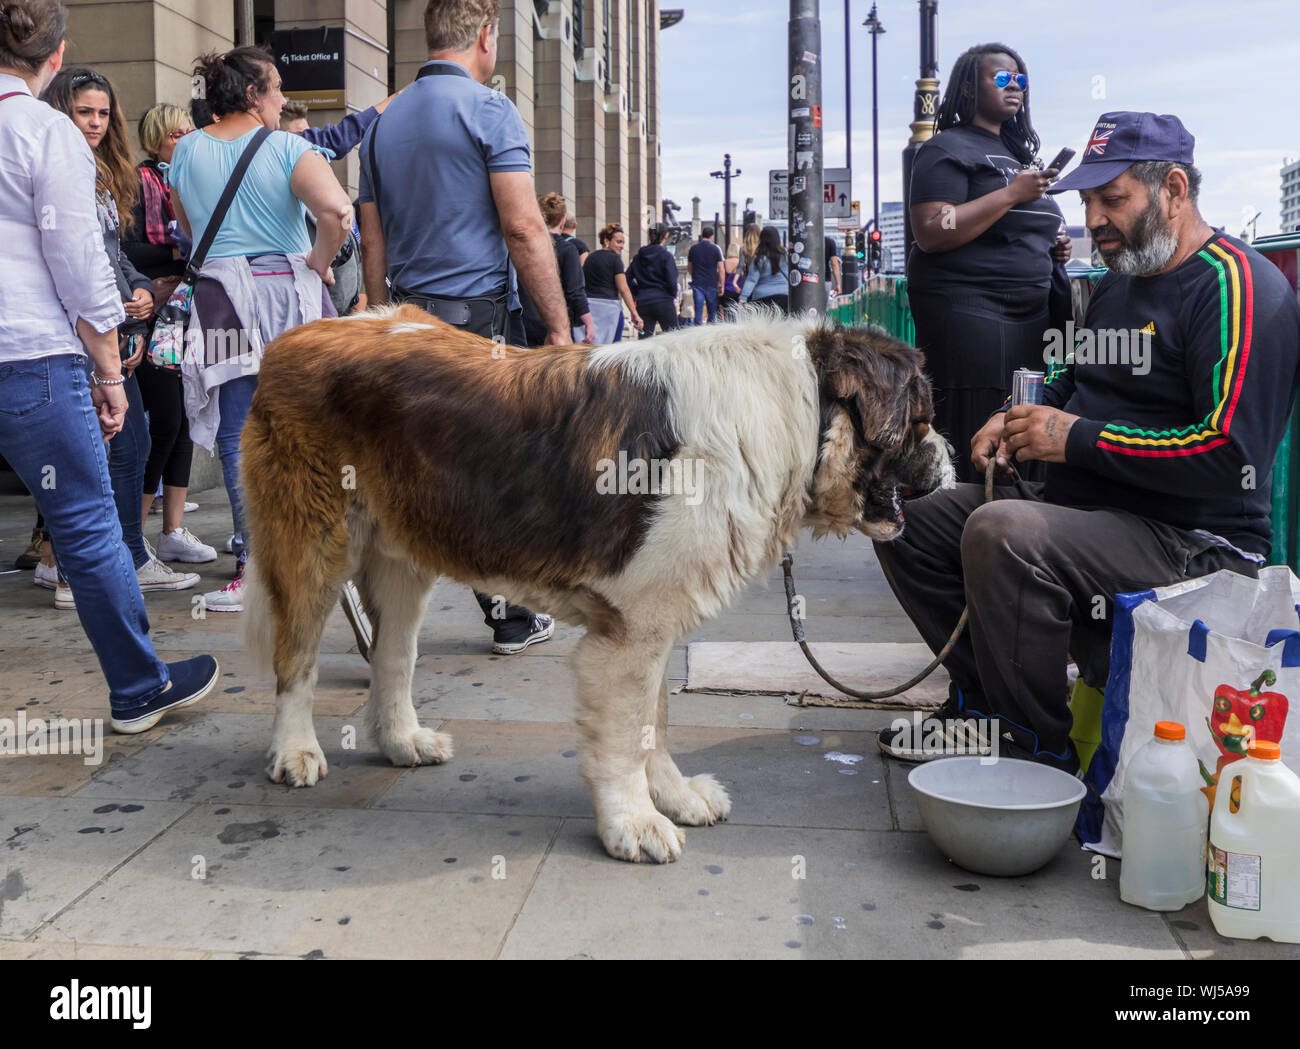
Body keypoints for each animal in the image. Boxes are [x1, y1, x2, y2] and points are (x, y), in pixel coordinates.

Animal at [244, 308, 951, 863]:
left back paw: (401, 741)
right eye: (921, 419)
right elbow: (628, 732)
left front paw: (674, 797)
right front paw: (634, 823)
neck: (797, 410)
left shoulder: (653, 621)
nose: (950, 457)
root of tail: (297, 334)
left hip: (404, 555)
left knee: (393, 654)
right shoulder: (627, 634)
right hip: (314, 543)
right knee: (296, 659)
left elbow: (654, 723)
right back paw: (294, 750)